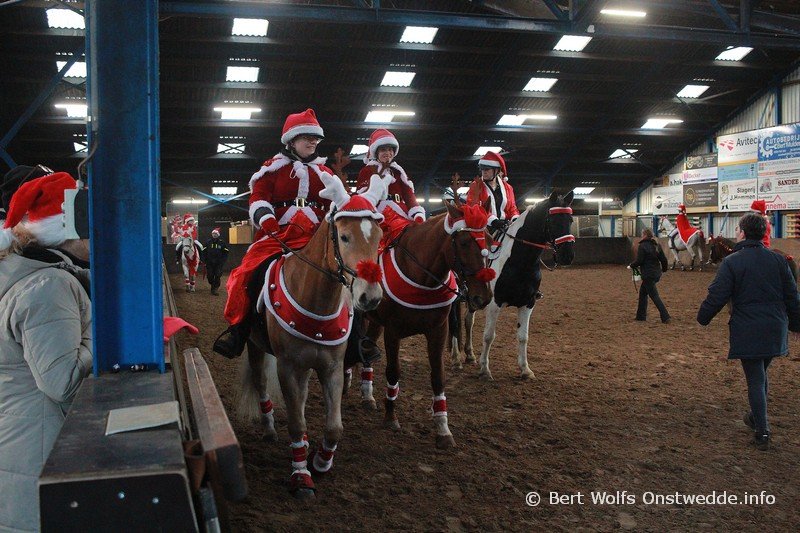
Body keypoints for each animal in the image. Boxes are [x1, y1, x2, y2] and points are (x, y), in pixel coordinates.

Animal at [238, 173, 386, 499]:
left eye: (379, 237)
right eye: (344, 237)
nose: (370, 297)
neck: (316, 298)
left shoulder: (331, 367)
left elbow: (334, 427)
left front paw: (320, 461)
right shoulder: (287, 367)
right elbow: (296, 423)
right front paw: (301, 475)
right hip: (256, 348)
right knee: (261, 384)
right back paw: (269, 429)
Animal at [358, 200, 495, 448]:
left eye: (490, 241)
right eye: (463, 242)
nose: (484, 297)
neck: (421, 277)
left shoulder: (438, 331)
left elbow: (438, 376)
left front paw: (443, 429)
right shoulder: (393, 332)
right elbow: (393, 372)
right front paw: (391, 417)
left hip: (375, 322)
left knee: (366, 349)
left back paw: (367, 395)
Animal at [450, 191, 576, 381]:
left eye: (570, 220)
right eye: (552, 221)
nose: (567, 256)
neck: (519, 262)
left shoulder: (528, 303)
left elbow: (523, 336)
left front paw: (525, 369)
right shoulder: (494, 303)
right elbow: (489, 336)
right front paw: (485, 369)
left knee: (468, 321)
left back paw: (470, 354)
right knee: (454, 324)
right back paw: (456, 358)